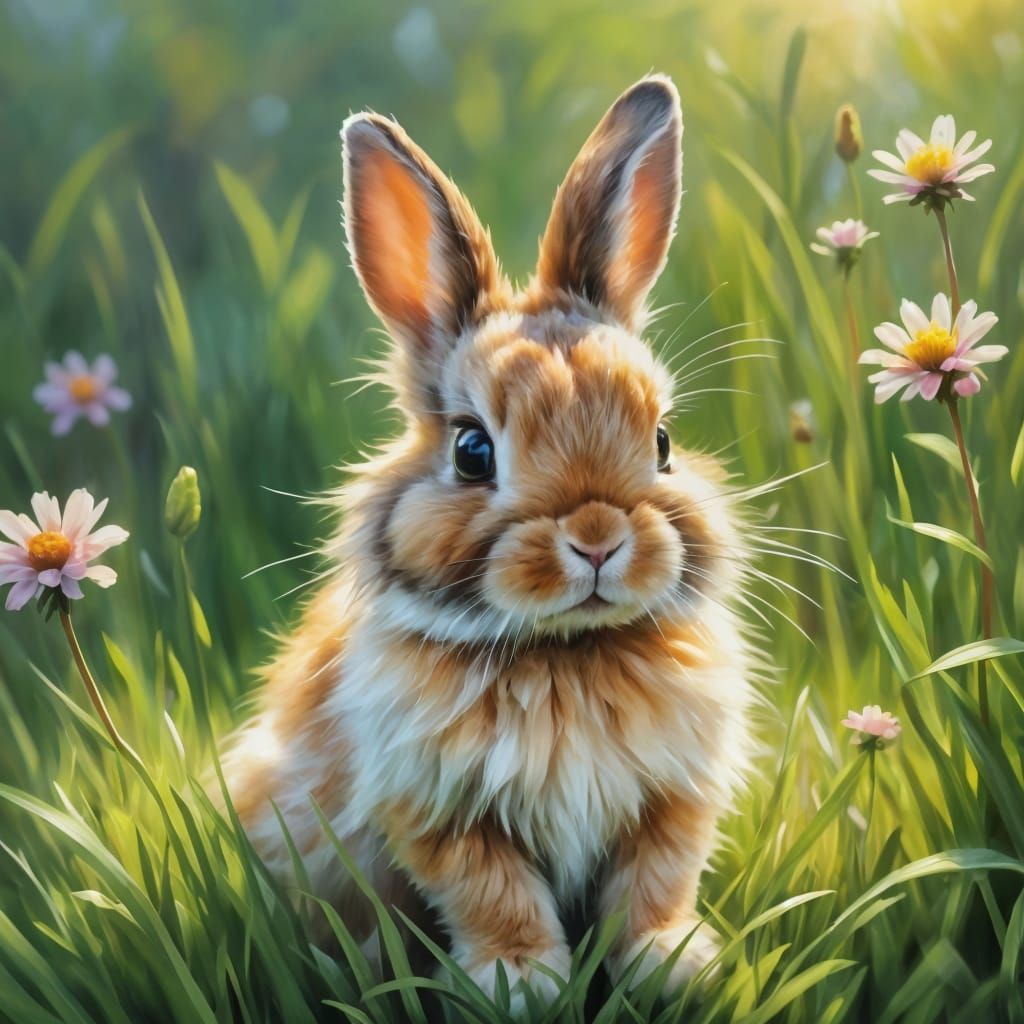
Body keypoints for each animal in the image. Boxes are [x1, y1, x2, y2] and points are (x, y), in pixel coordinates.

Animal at [221, 73, 753, 1009]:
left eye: (662, 441)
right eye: (473, 451)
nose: (597, 537)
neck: (567, 652)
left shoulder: (673, 801)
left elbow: (655, 883)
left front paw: (672, 963)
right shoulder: (440, 813)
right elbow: (493, 892)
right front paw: (519, 983)